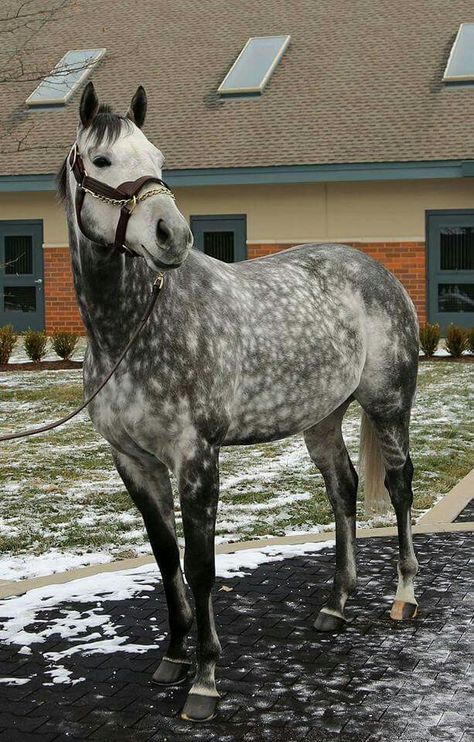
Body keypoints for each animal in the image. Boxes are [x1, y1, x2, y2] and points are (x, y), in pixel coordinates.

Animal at [58, 84, 418, 724]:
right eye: (101, 160)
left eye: (159, 158)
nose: (172, 236)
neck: (132, 329)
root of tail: (378, 273)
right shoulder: (134, 463)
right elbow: (165, 557)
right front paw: (173, 657)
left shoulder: (197, 459)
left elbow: (202, 568)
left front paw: (204, 679)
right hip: (322, 419)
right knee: (344, 489)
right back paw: (336, 605)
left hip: (388, 405)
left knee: (400, 487)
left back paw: (404, 596)